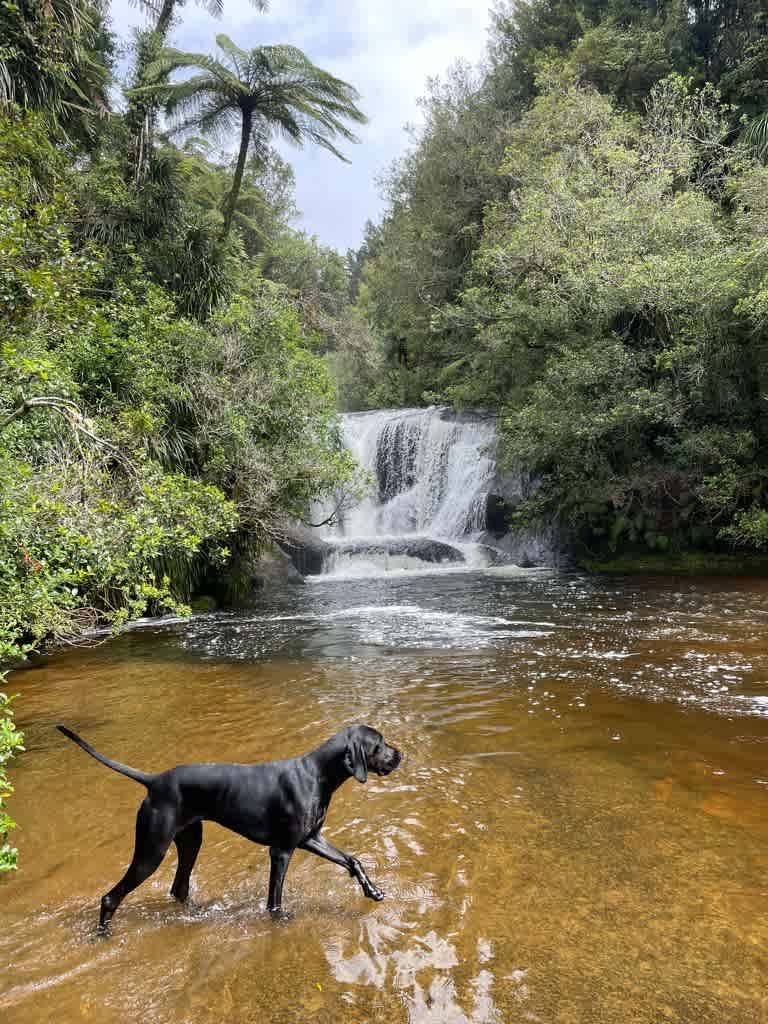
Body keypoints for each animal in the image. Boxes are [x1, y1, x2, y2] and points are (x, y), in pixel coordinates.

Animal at [57, 720, 399, 929]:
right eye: (379, 744)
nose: (400, 755)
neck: (317, 774)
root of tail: (154, 780)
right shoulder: (282, 850)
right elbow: (275, 900)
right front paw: (279, 921)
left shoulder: (311, 839)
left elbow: (352, 861)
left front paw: (372, 890)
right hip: (151, 851)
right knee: (111, 897)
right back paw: (101, 935)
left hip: (190, 842)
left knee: (178, 888)